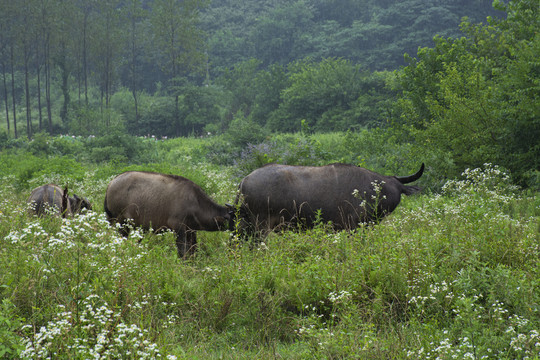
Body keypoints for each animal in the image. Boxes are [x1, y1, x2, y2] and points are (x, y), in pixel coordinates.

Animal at [104, 171, 233, 258]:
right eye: (234, 218)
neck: (195, 201)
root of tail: (111, 183)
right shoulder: (178, 229)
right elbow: (182, 251)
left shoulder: (191, 231)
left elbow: (193, 250)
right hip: (121, 224)